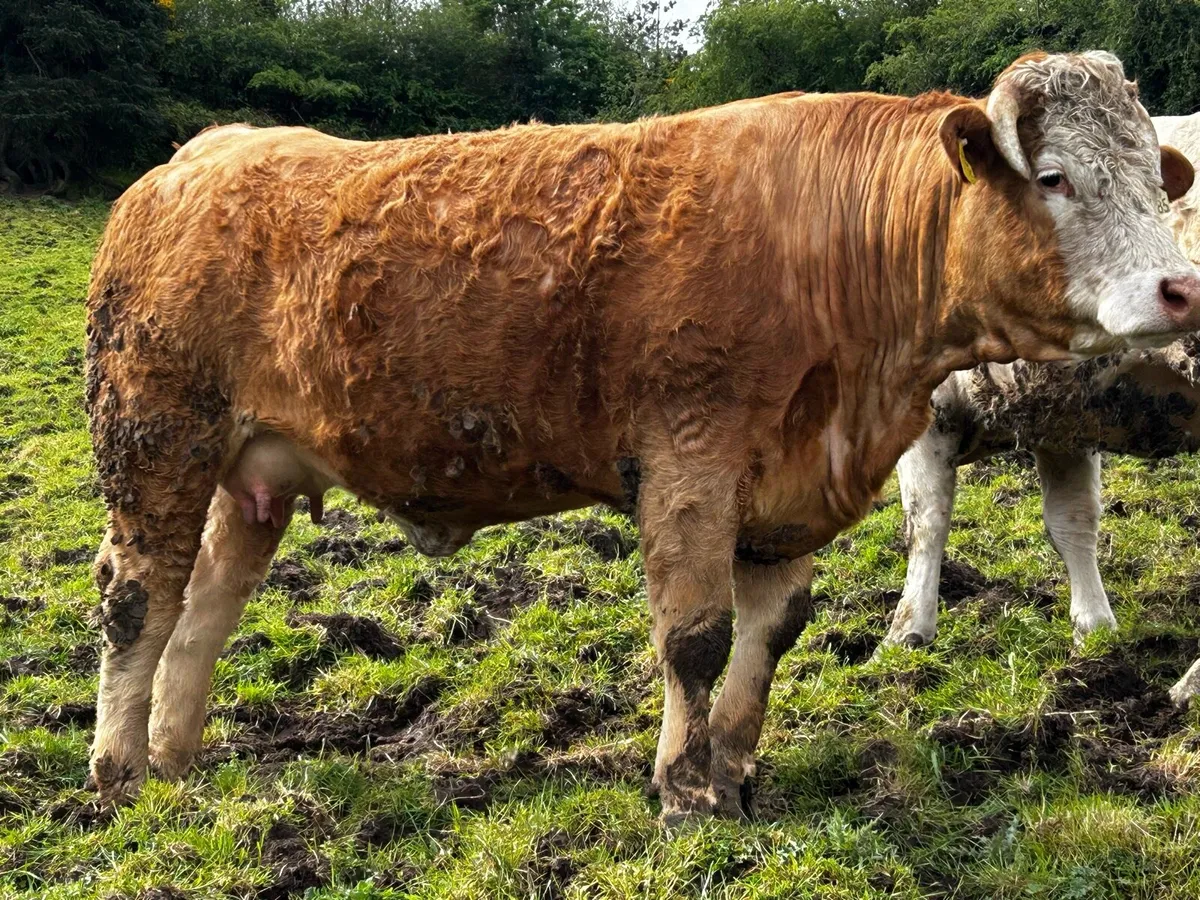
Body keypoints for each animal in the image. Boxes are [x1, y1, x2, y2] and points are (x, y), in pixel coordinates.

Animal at [885, 112, 1200, 704]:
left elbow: (925, 520)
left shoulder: (930, 410)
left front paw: (907, 631)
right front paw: (1094, 631)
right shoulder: (1060, 417)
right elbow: (1071, 520)